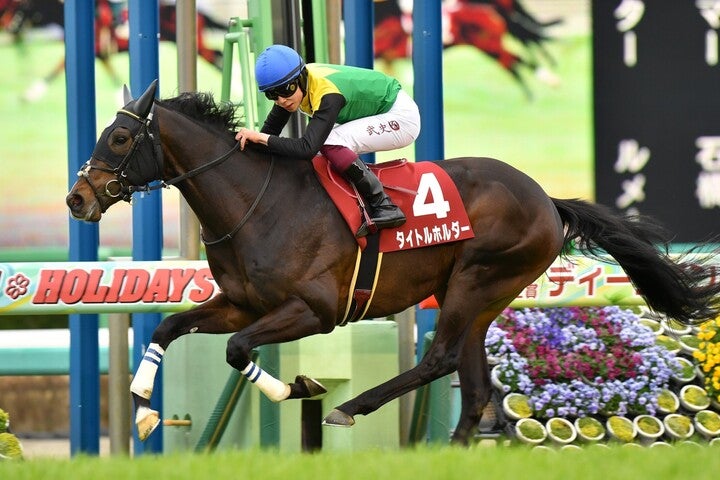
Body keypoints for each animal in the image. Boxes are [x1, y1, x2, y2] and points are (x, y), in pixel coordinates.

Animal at [66, 80, 720, 444]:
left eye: (119, 139)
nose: (77, 199)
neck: (258, 203)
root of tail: (545, 198)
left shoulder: (314, 310)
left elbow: (236, 350)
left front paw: (296, 389)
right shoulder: (241, 303)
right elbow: (170, 326)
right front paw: (143, 406)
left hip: (478, 279)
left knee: (438, 359)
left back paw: (350, 408)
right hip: (479, 295)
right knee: (473, 387)